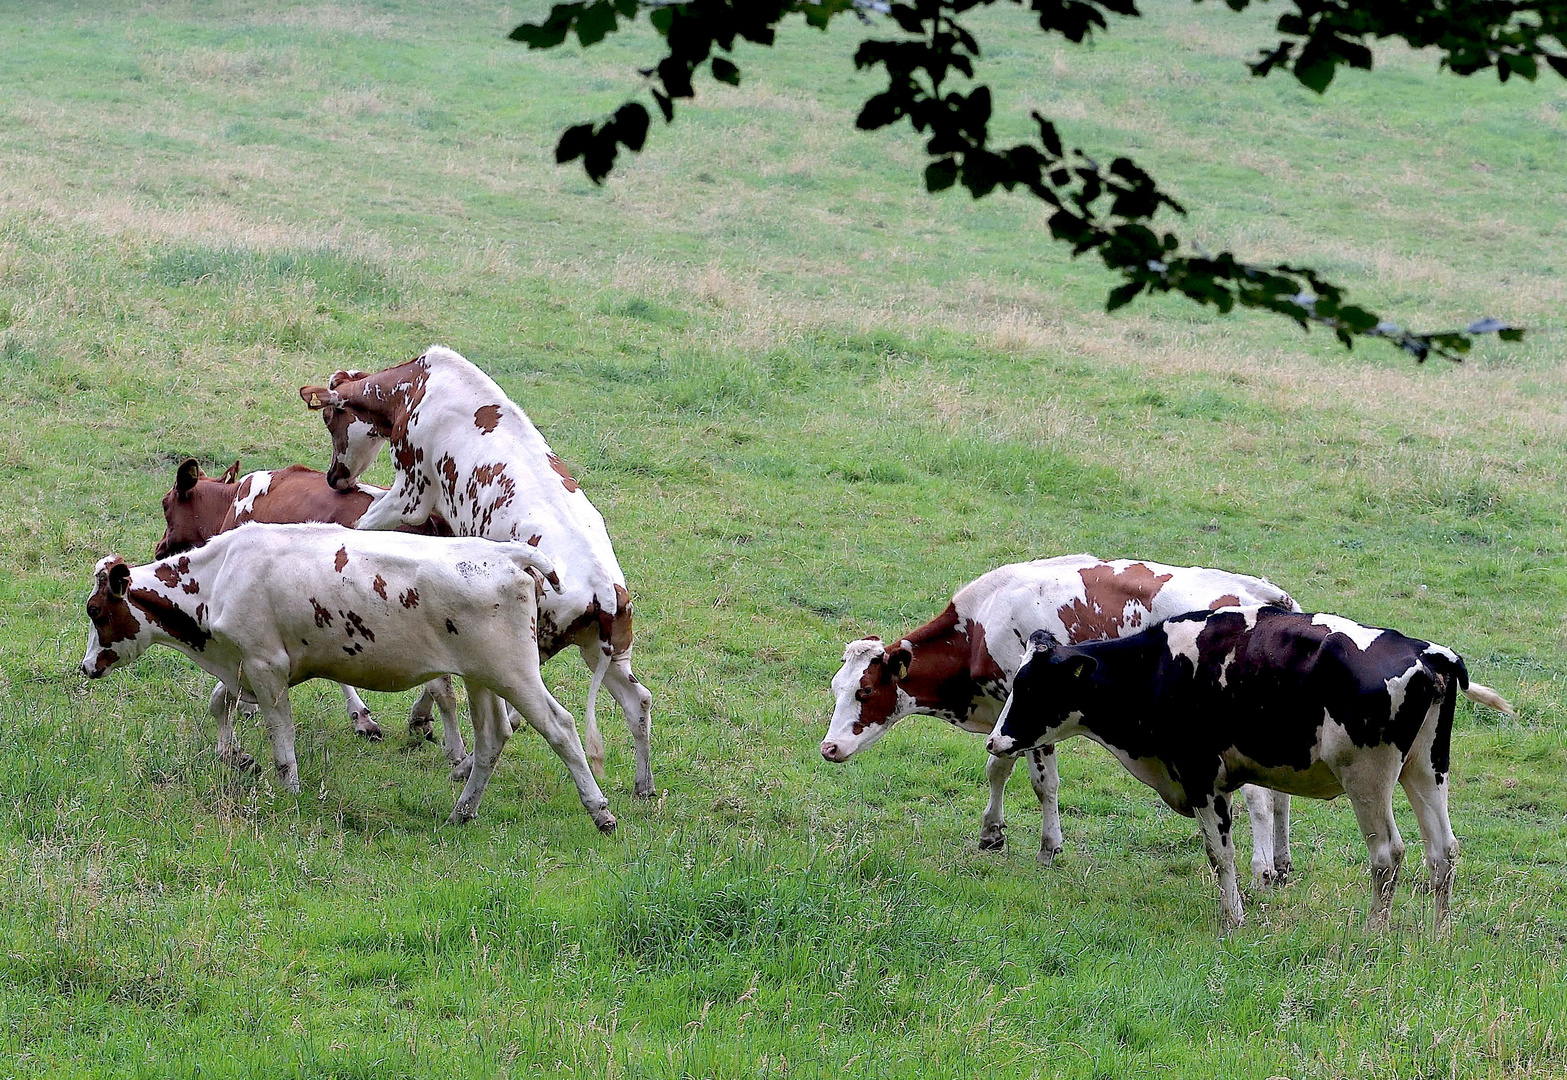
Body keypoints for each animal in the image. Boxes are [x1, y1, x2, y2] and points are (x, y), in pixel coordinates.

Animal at [79, 520, 614, 827]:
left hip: (513, 674)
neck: (220, 575)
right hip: (481, 677)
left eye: (96, 611)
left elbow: (282, 741)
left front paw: (289, 791)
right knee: (492, 739)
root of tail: (509, 554)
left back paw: (599, 811)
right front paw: (234, 756)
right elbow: (218, 702)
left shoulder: (265, 666)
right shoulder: (245, 664)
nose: (86, 667)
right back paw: (462, 811)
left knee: (560, 727)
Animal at [299, 349, 655, 796]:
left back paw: (464, 763)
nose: (334, 477)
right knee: (638, 700)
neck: (417, 385)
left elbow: (364, 522)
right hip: (605, 651)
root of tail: (604, 589)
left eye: (331, 419)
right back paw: (644, 786)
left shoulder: (411, 492)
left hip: (518, 645)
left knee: (514, 716)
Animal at [821, 554, 1297, 884]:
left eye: (865, 691)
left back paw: (1261, 870)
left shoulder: (1032, 711)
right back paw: (1281, 863)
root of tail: (1261, 595)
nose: (829, 747)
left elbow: (1042, 782)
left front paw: (1049, 848)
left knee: (1258, 798)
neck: (980, 623)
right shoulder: (1008, 717)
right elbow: (996, 768)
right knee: (1279, 795)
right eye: (836, 687)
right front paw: (992, 833)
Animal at [990, 608, 1516, 927]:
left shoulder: (1201, 776)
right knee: (1442, 852)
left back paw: (1375, 931)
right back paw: (1438, 934)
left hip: (1368, 779)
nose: (996, 741)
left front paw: (1233, 918)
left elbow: (1220, 854)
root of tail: (1427, 652)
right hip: (1426, 769)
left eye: (1034, 688)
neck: (1156, 668)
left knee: (1388, 855)